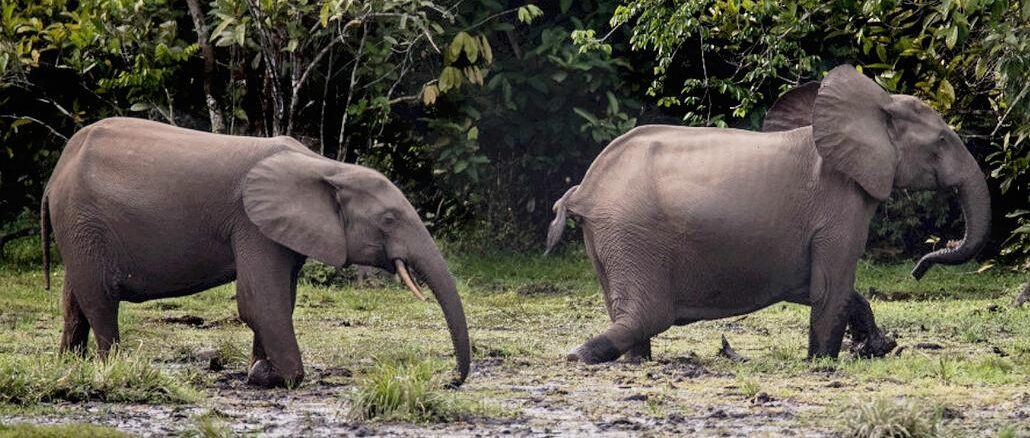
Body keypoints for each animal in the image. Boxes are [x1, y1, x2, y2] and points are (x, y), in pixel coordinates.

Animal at [40, 117, 470, 387]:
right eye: (388, 219)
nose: (451, 381)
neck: (326, 166)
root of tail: (55, 173)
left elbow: (280, 301)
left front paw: (259, 371)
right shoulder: (251, 224)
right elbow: (260, 302)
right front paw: (272, 376)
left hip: (79, 229)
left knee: (74, 302)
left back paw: (68, 365)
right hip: (82, 221)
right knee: (100, 301)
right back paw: (111, 367)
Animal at [545, 65, 988, 364]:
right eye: (941, 142)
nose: (917, 269)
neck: (873, 105)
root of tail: (584, 189)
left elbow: (818, 288)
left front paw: (874, 347)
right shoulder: (841, 205)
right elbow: (831, 289)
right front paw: (823, 363)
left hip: (610, 236)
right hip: (632, 232)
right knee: (649, 314)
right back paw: (577, 355)